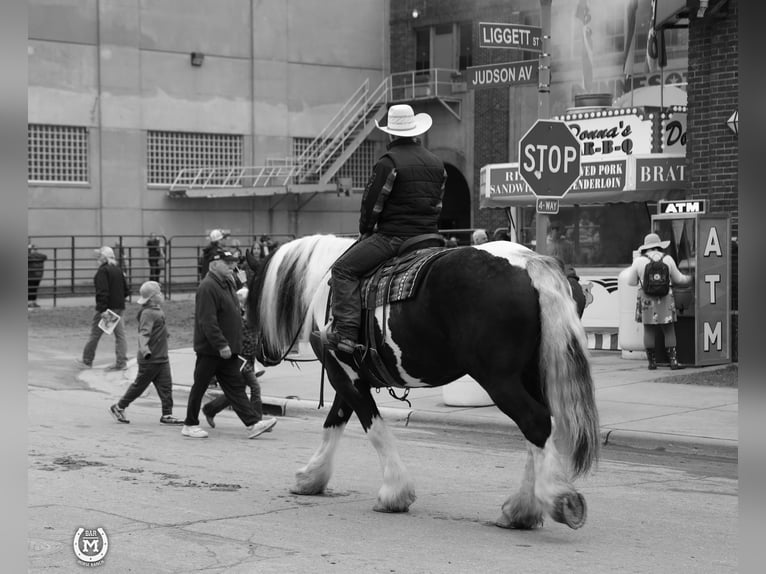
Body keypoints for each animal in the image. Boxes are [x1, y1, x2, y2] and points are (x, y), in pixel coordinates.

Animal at [246, 234, 600, 532]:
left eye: (250, 294)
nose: (257, 352)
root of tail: (530, 262)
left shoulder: (343, 374)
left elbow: (373, 428)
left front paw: (394, 493)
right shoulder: (349, 376)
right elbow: (334, 422)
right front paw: (312, 477)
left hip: (499, 379)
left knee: (535, 422)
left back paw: (553, 500)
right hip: (531, 374)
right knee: (538, 431)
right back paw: (522, 509)